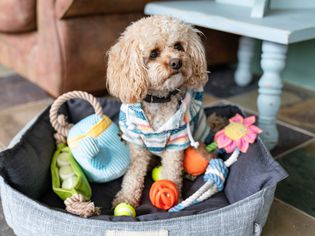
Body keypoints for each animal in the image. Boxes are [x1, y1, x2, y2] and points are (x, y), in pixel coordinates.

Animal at [107, 16, 214, 208]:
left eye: (178, 46)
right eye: (153, 54)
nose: (176, 62)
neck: (159, 99)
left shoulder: (176, 143)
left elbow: (172, 172)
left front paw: (175, 198)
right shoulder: (136, 143)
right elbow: (133, 173)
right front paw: (126, 198)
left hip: (200, 135)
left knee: (207, 153)